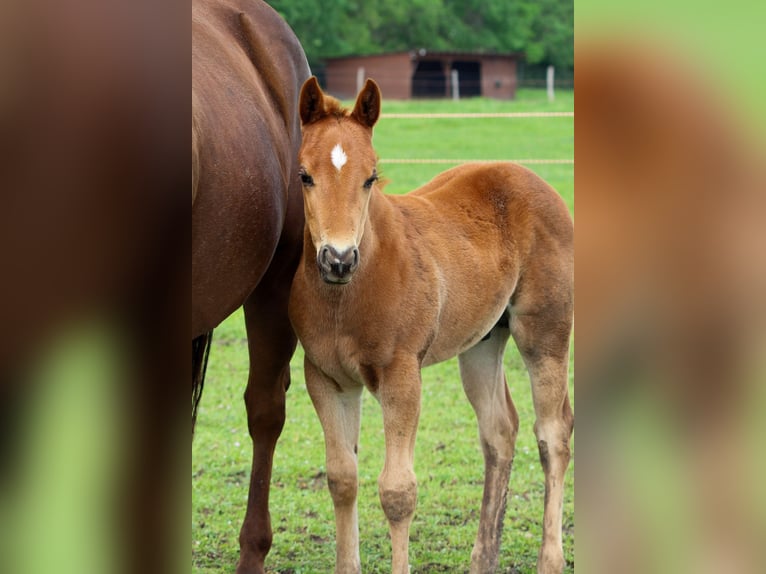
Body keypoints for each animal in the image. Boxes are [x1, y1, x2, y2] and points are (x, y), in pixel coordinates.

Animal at [288, 77, 574, 573]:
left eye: (370, 177)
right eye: (305, 175)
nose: (338, 259)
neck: (345, 299)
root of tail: (536, 181)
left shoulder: (401, 376)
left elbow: (397, 491)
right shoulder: (326, 378)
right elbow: (342, 478)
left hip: (545, 337)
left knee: (553, 436)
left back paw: (549, 560)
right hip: (482, 343)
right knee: (500, 431)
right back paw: (483, 558)